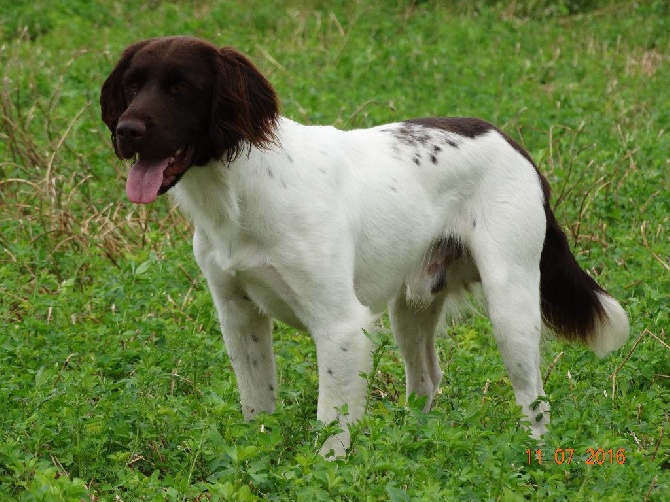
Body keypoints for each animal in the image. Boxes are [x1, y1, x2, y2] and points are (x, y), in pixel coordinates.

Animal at [100, 36, 632, 458]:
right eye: (131, 86)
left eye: (181, 87)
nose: (126, 131)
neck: (240, 189)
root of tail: (512, 143)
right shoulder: (239, 315)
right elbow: (257, 404)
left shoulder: (340, 326)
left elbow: (330, 425)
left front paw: (325, 473)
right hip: (411, 307)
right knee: (427, 381)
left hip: (510, 303)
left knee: (535, 401)